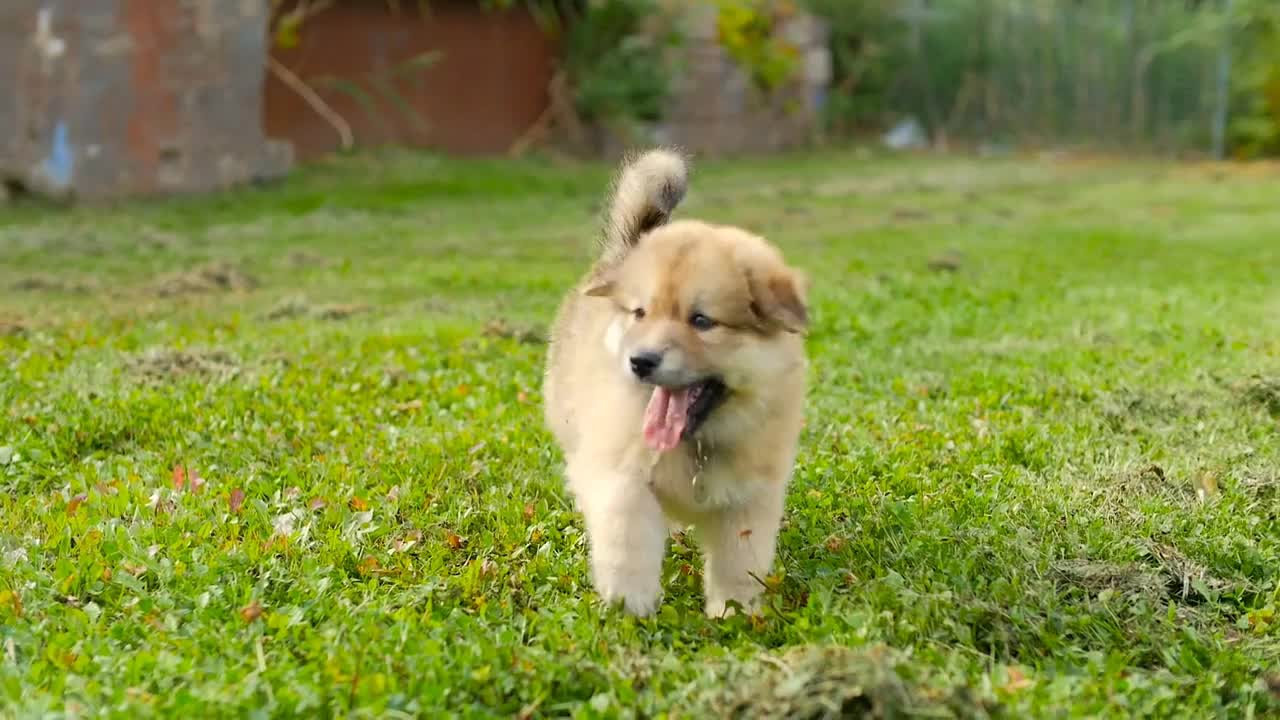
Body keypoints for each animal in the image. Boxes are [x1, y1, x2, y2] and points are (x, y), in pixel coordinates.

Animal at [542, 147, 803, 617]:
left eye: (701, 321)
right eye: (640, 314)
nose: (640, 361)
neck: (694, 443)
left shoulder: (749, 500)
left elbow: (739, 561)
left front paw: (733, 612)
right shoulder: (622, 480)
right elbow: (629, 544)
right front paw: (630, 606)